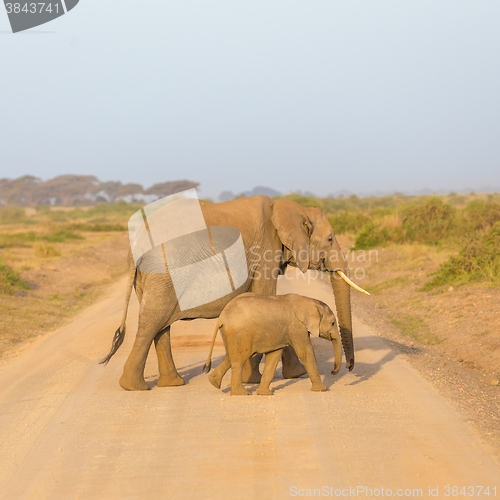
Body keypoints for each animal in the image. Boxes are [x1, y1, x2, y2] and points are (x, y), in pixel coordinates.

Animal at [201, 292, 342, 394]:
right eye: (333, 323)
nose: (333, 372)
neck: (310, 301)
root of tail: (222, 316)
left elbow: (273, 357)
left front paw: (265, 394)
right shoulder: (297, 327)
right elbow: (306, 353)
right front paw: (323, 390)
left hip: (230, 333)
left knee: (230, 357)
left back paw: (214, 382)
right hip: (239, 332)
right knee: (238, 360)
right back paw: (241, 393)